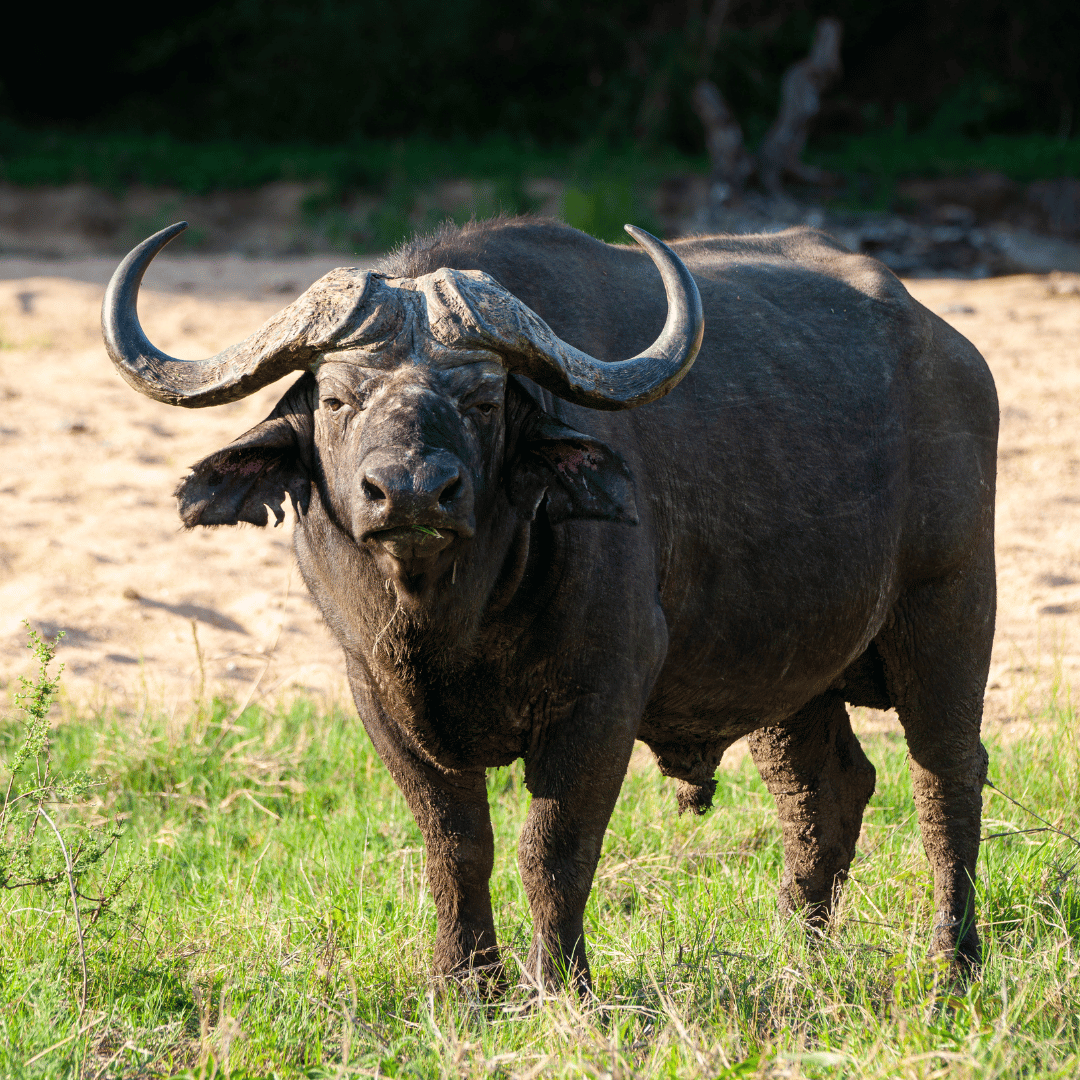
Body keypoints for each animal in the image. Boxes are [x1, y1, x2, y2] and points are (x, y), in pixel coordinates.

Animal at [102, 217, 997, 991]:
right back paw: (796, 955)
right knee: (823, 792)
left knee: (945, 777)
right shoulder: (379, 697)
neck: (452, 618)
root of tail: (948, 350)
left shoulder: (601, 701)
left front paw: (561, 986)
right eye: (335, 398)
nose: (412, 492)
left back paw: (952, 964)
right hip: (785, 672)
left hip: (950, 612)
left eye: (484, 400)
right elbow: (455, 847)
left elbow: (553, 852)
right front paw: (466, 985)